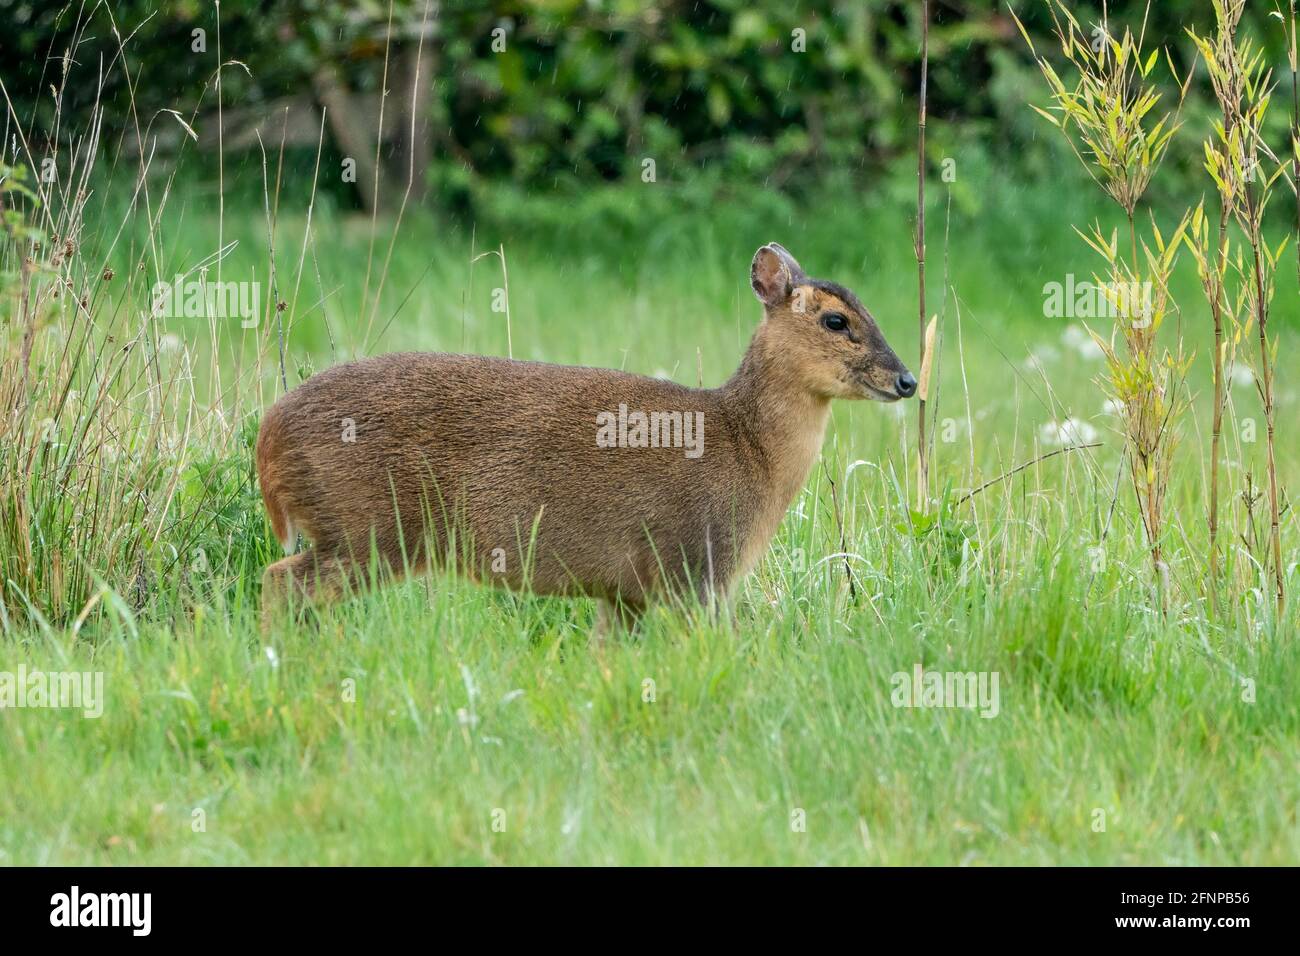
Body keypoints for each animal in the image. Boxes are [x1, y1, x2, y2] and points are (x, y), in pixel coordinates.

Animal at [257, 243, 915, 634]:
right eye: (837, 320)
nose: (907, 379)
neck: (745, 445)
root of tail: (269, 436)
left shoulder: (624, 592)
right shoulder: (694, 567)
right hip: (368, 527)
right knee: (279, 582)